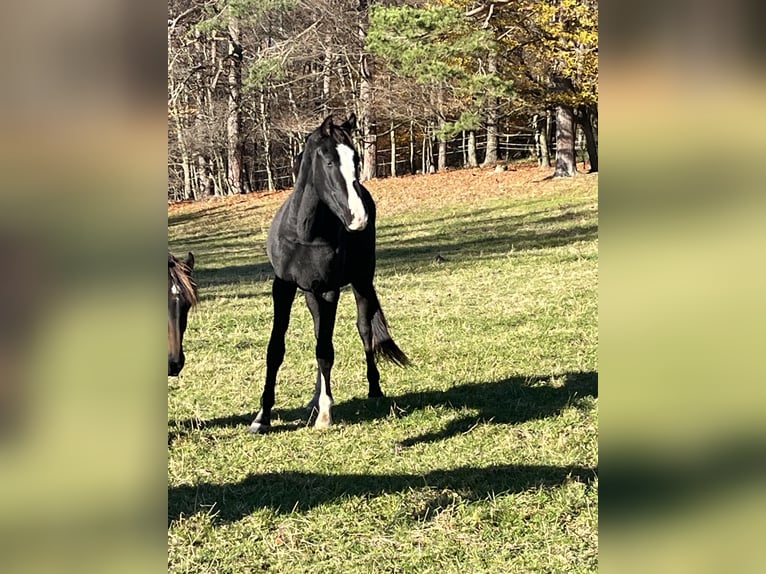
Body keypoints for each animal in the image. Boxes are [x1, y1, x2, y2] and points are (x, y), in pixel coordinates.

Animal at [250, 114, 410, 433]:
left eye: (357, 159)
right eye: (329, 162)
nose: (358, 218)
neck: (304, 234)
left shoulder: (328, 290)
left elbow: (325, 350)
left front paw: (325, 415)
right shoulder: (283, 287)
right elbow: (277, 349)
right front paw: (262, 417)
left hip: (361, 282)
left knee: (363, 330)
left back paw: (373, 390)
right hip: (311, 295)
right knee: (319, 333)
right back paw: (315, 398)